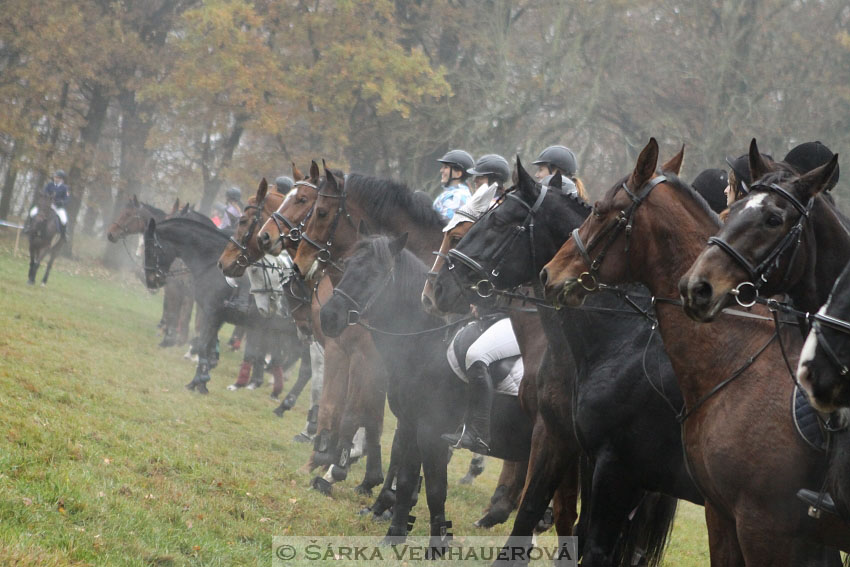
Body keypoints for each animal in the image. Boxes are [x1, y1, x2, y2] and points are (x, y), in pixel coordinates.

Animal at [146, 217, 302, 394]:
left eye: (150, 248)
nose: (151, 281)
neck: (210, 262)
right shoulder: (217, 317)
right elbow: (209, 347)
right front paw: (201, 380)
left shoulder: (210, 313)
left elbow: (203, 345)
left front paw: (198, 381)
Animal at [318, 234, 528, 552]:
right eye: (348, 264)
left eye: (375, 273)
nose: (329, 317)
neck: (429, 346)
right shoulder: (410, 424)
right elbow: (405, 479)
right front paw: (393, 534)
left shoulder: (432, 430)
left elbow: (436, 488)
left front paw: (438, 542)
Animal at [434, 161, 700, 567]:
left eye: (498, 221)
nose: (438, 289)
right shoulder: (562, 438)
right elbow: (547, 509)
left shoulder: (595, 455)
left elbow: (570, 518)